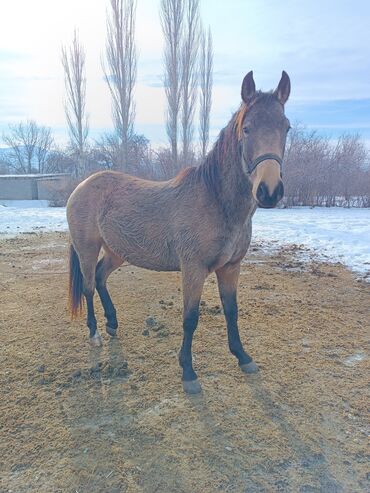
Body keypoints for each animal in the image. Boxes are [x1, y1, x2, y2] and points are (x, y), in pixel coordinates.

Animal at [68, 70, 290, 392]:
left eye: (286, 127)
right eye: (247, 129)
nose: (269, 191)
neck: (216, 201)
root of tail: (81, 186)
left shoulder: (231, 268)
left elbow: (231, 311)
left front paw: (243, 357)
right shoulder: (193, 269)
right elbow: (190, 318)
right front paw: (188, 372)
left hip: (117, 251)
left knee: (99, 277)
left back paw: (112, 324)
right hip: (87, 247)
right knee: (87, 285)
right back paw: (95, 333)